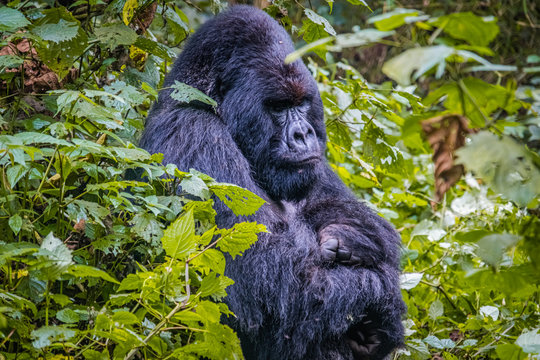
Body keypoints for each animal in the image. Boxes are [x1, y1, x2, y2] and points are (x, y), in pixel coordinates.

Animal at [139, 6, 404, 360]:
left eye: (302, 103)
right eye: (279, 106)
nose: (303, 133)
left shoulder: (313, 164)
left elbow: (356, 217)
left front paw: (355, 235)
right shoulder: (194, 132)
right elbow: (267, 286)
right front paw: (383, 299)